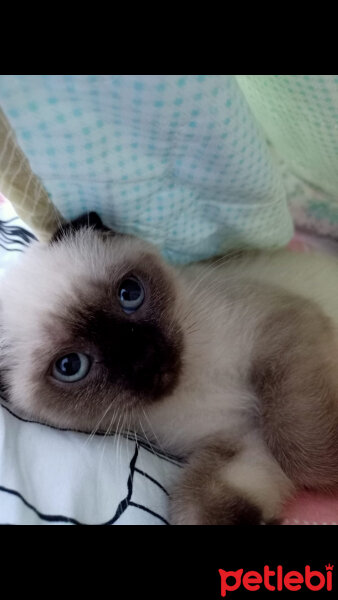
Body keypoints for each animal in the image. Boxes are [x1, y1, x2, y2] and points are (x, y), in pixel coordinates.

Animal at [0, 213, 338, 524]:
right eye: (70, 366)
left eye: (130, 293)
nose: (145, 356)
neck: (193, 386)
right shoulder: (240, 441)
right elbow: (196, 508)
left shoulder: (279, 332)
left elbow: (302, 453)